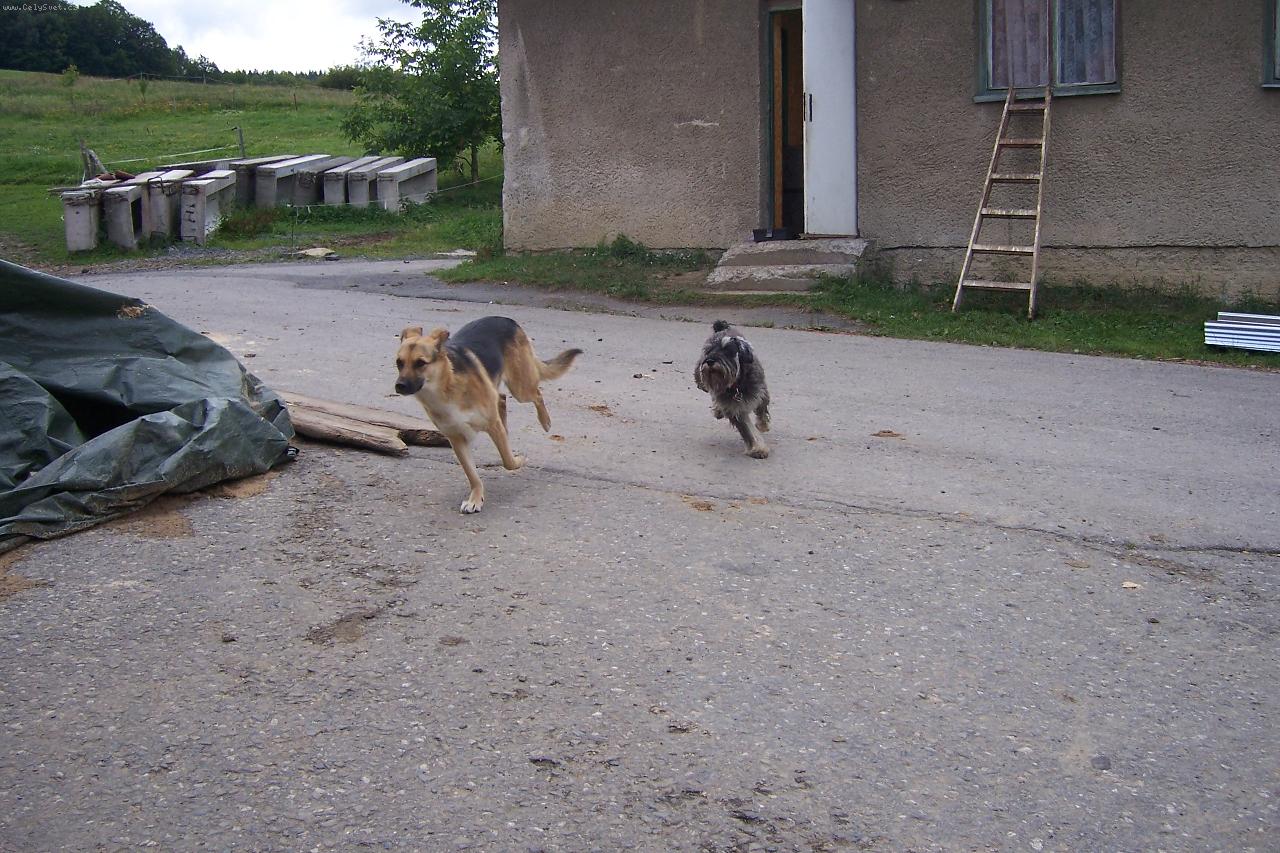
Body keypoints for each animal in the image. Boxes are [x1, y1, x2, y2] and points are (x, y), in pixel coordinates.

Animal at [395, 316, 581, 513]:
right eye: (399, 362)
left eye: (420, 363)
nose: (399, 386)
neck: (446, 388)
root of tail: (508, 319)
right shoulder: (457, 438)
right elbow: (472, 474)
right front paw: (476, 498)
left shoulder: (492, 424)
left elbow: (508, 461)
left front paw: (519, 460)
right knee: (502, 398)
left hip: (520, 387)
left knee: (536, 394)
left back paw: (545, 421)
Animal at [694, 320, 771, 458]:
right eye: (708, 350)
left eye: (727, 350)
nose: (709, 361)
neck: (737, 385)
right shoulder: (735, 409)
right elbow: (748, 431)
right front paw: (758, 448)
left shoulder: (761, 394)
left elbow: (762, 411)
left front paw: (762, 426)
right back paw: (718, 410)